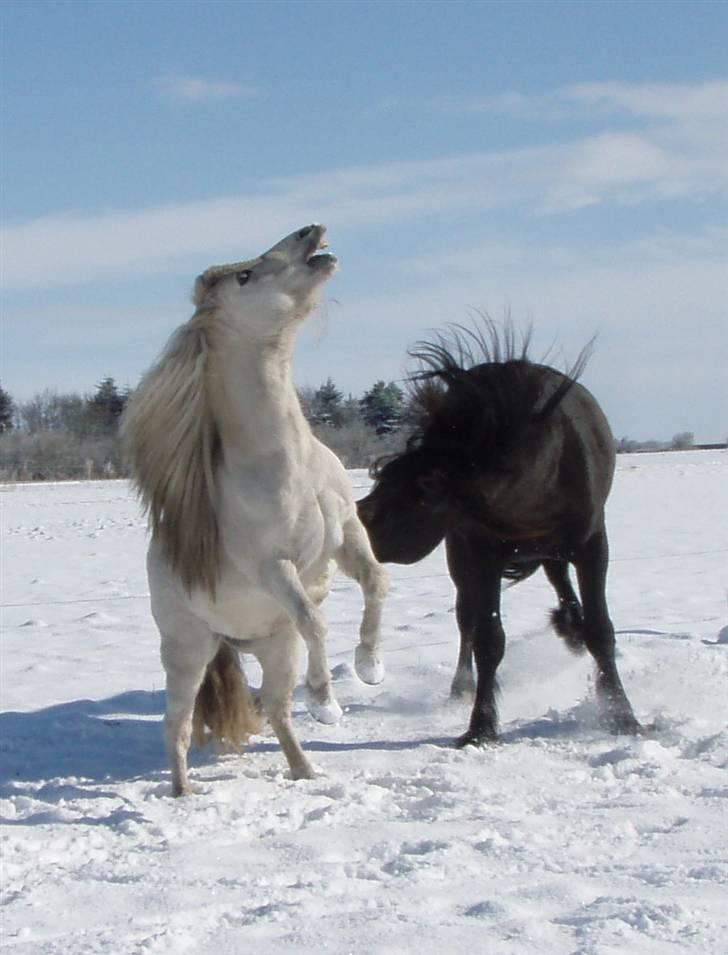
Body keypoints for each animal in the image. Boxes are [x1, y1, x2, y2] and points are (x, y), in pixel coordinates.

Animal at [122, 222, 390, 792]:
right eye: (245, 276)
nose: (312, 233)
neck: (286, 462)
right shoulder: (275, 567)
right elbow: (315, 620)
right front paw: (327, 702)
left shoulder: (349, 535)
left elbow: (377, 584)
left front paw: (369, 666)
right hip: (189, 651)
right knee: (177, 723)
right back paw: (183, 792)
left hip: (273, 644)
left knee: (276, 707)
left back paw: (305, 771)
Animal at [358, 324, 644, 748]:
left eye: (421, 490)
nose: (358, 518)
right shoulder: (480, 549)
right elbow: (488, 638)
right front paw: (481, 725)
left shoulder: (592, 543)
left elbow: (600, 629)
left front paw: (621, 714)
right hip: (462, 556)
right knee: (467, 618)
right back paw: (462, 686)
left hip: (555, 548)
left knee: (560, 583)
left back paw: (570, 627)